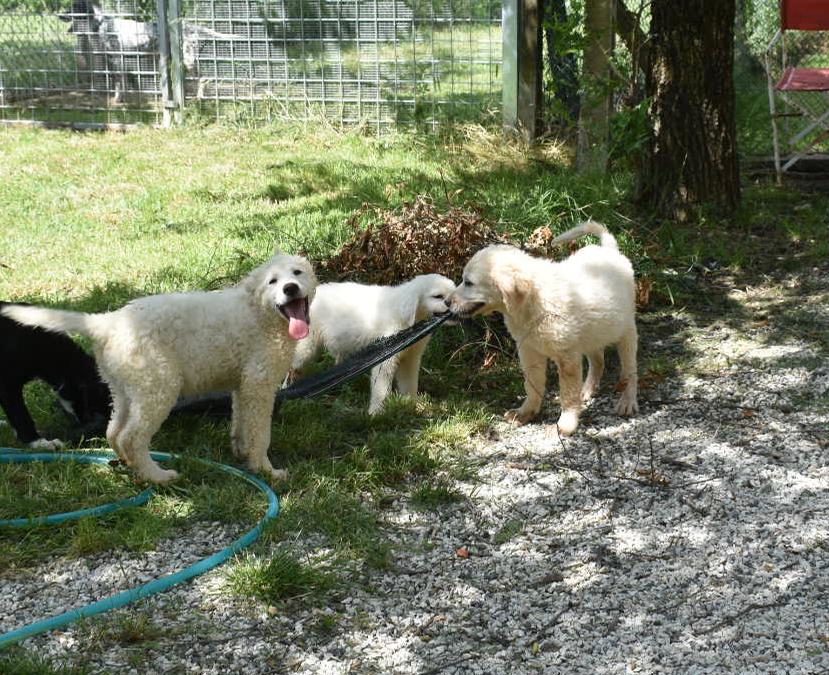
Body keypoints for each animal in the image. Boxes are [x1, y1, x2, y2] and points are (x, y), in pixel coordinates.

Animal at [294, 274, 456, 412]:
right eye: (438, 296)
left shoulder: (411, 358)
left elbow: (409, 384)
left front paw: (411, 406)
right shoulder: (385, 359)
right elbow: (381, 389)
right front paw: (376, 413)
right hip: (306, 345)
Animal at [450, 219, 636, 436]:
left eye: (468, 282)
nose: (446, 302)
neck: (534, 300)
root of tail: (609, 250)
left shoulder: (567, 357)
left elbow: (568, 393)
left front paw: (567, 423)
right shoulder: (529, 351)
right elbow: (532, 384)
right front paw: (525, 412)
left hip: (626, 331)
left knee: (630, 370)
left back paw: (627, 401)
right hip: (593, 332)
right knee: (598, 360)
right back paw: (588, 389)